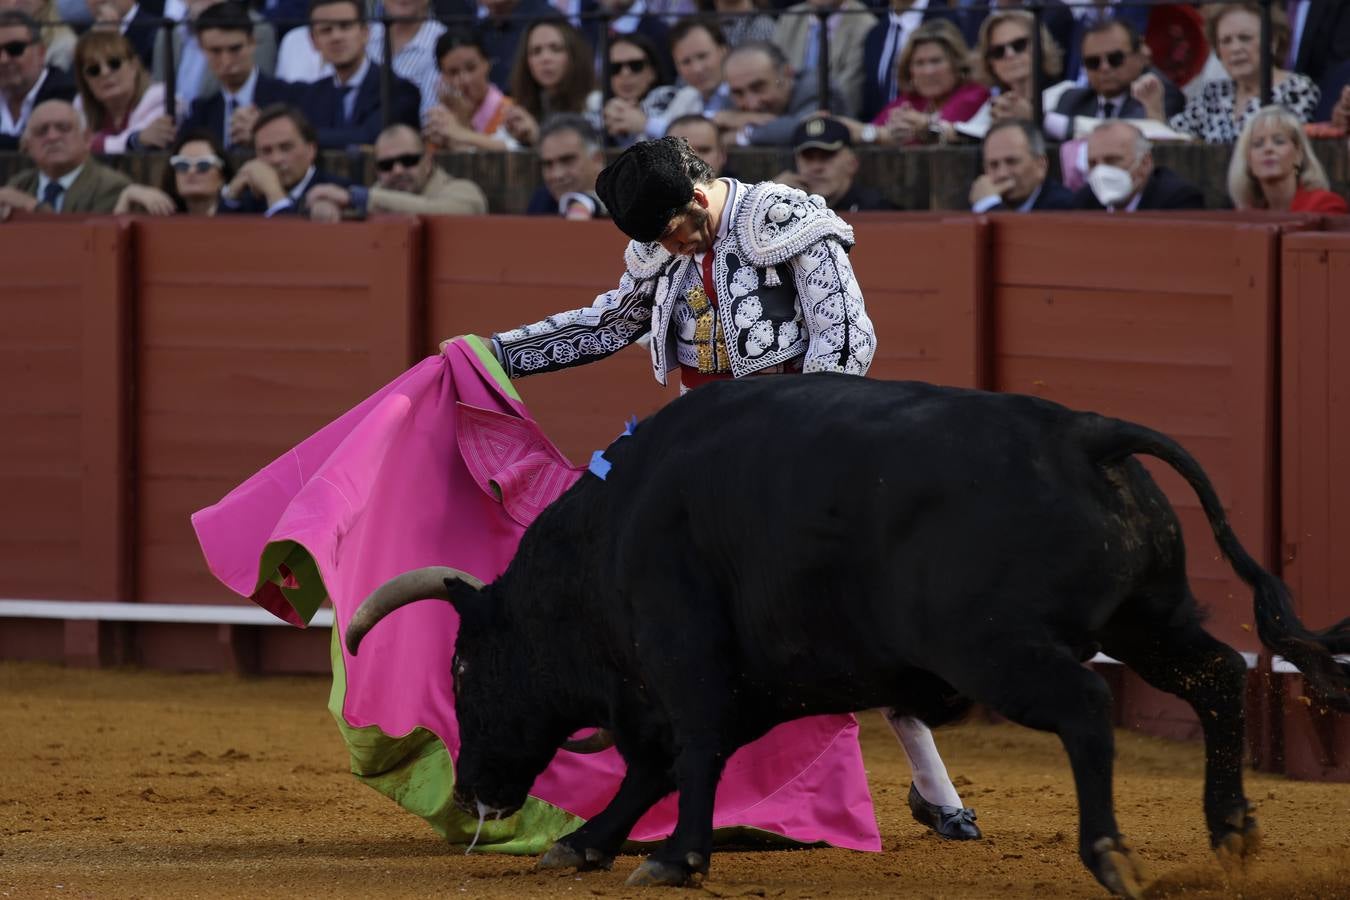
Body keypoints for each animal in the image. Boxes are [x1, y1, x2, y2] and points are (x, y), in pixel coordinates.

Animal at [340, 372, 1350, 895]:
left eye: (464, 666)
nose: (473, 792)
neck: (607, 540)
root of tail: (1083, 436)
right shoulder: (727, 683)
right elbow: (656, 767)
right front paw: (587, 844)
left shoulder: (682, 659)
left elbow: (683, 755)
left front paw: (672, 858)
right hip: (1150, 618)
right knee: (1218, 675)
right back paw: (1231, 833)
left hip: (1002, 649)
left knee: (1088, 709)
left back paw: (1111, 856)